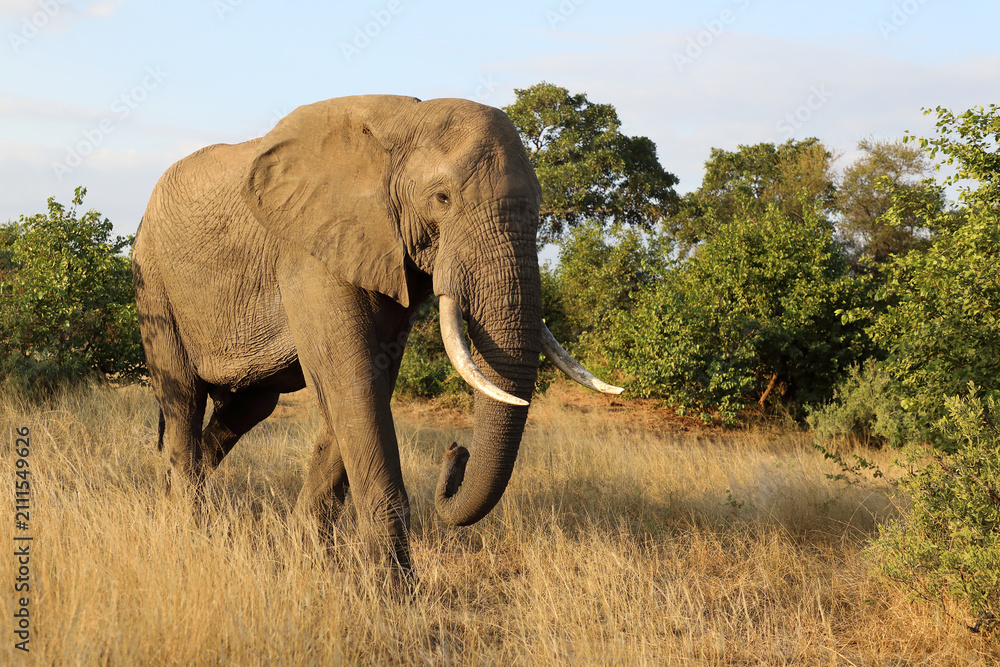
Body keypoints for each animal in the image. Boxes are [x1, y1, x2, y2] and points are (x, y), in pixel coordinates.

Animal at [132, 94, 622, 576]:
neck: (405, 120)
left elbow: (369, 386)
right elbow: (351, 381)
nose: (456, 451)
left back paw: (169, 497)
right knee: (183, 399)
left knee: (249, 407)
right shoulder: (310, 250)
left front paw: (308, 558)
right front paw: (394, 588)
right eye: (442, 199)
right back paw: (188, 531)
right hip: (153, 281)